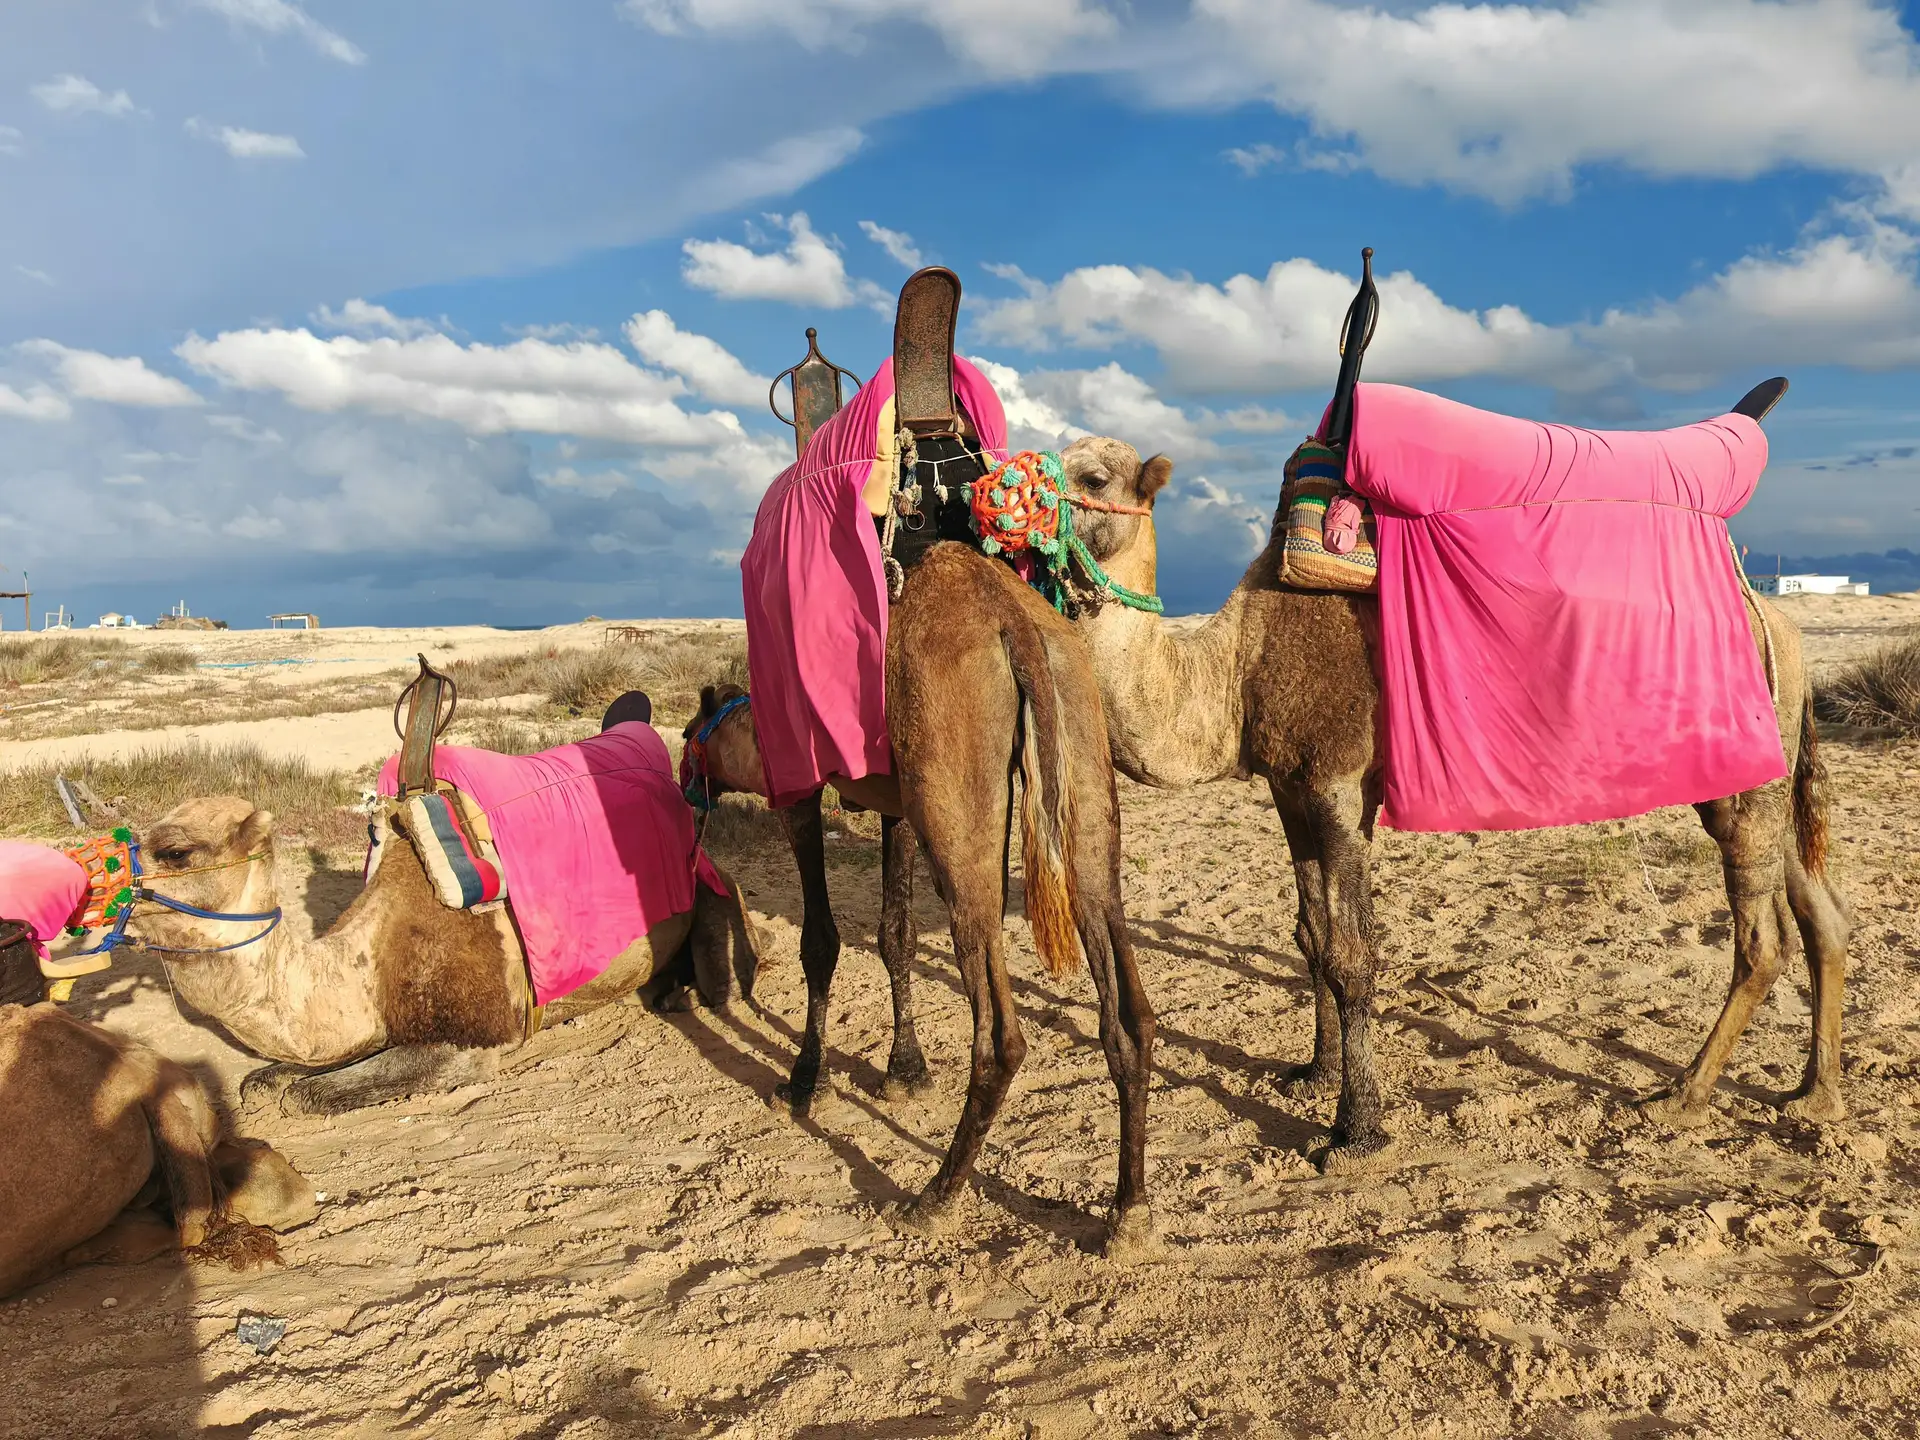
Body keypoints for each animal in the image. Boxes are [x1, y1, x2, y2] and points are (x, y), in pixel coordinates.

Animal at [116, 693, 758, 1117]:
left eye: (175, 850)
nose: (100, 891)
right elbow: (275, 1078)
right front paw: (271, 1076)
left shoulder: (475, 1042)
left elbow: (307, 1094)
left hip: (710, 886)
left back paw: (679, 992)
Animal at [690, 545, 1156, 1250]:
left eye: (689, 733)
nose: (683, 782)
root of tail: (1018, 627)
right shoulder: (898, 807)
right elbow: (894, 933)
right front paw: (903, 1072)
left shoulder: (797, 789)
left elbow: (820, 941)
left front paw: (803, 1082)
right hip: (1079, 742)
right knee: (1124, 991)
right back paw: (1128, 1212)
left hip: (956, 777)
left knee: (1000, 1031)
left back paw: (934, 1196)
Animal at [1041, 434, 1850, 1169]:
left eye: (1093, 476)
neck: (1235, 668)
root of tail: (1780, 624)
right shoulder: (1290, 788)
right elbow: (1310, 935)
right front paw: (1314, 1073)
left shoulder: (1337, 783)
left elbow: (1351, 955)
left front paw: (1355, 1133)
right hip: (1769, 762)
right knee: (1820, 911)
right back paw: (1815, 1094)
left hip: (1741, 779)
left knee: (1762, 938)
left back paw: (1682, 1097)